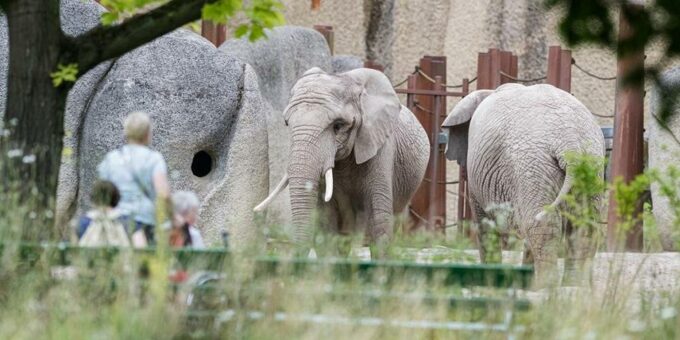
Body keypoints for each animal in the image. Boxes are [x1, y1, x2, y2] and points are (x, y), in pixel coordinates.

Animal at [440, 83, 604, 282]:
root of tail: (570, 142)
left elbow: (485, 225)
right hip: (589, 167)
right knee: (583, 226)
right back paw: (573, 285)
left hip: (533, 167)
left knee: (540, 222)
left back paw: (545, 284)